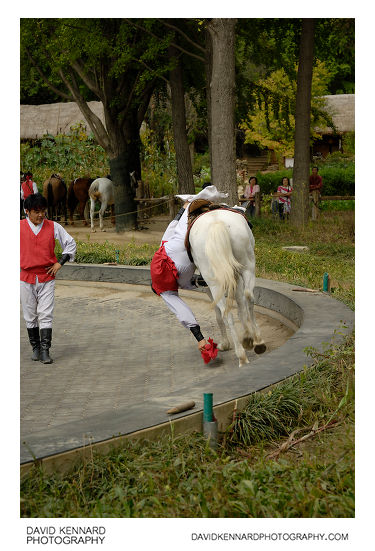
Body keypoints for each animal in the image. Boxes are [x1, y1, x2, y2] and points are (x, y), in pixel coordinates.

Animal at [191, 209, 268, 368]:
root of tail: (217, 223)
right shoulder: (236, 277)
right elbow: (241, 306)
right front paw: (247, 336)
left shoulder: (209, 288)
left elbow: (218, 315)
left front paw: (225, 344)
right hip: (247, 266)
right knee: (248, 297)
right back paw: (257, 341)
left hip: (214, 283)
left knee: (226, 314)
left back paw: (241, 355)